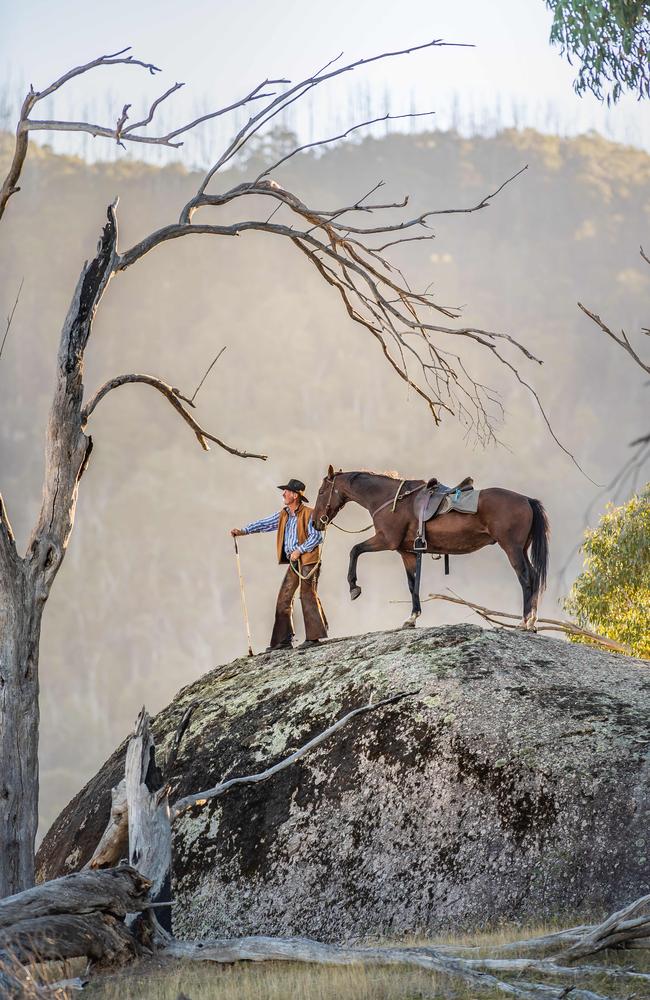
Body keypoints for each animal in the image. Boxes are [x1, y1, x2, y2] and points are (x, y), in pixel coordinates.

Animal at [310, 468, 548, 632]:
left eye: (321, 491)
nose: (315, 522)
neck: (391, 499)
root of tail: (527, 500)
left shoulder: (385, 541)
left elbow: (355, 550)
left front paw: (354, 587)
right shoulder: (406, 552)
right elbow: (412, 583)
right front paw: (412, 618)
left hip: (512, 548)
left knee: (526, 579)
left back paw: (524, 622)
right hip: (521, 548)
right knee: (534, 576)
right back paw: (532, 622)